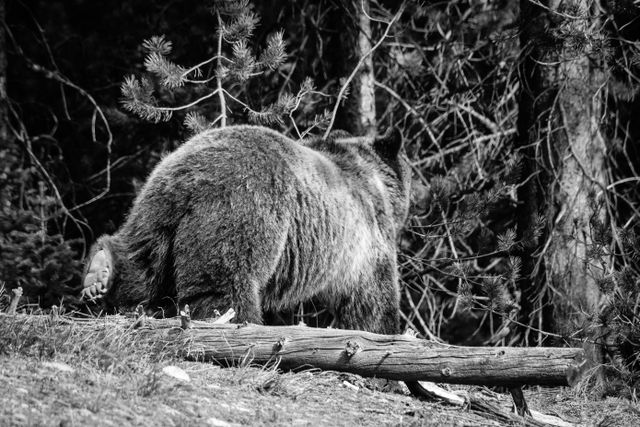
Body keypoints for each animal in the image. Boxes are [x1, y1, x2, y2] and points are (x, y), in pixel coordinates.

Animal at [81, 125, 410, 336]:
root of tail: (192, 174)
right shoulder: (366, 238)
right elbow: (372, 298)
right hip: (246, 206)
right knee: (226, 279)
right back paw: (241, 322)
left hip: (157, 205)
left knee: (142, 260)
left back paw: (100, 274)